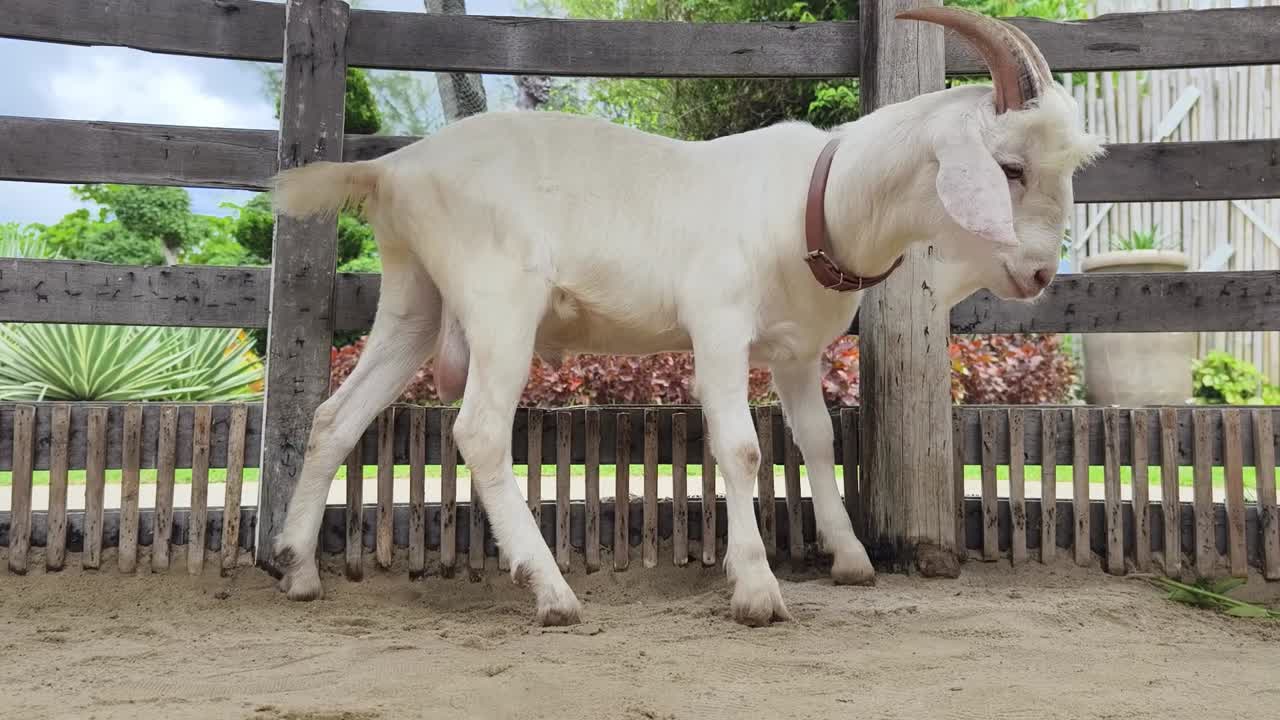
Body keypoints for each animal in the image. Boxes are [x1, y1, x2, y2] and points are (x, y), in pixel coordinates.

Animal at [266, 7, 1103, 627]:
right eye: (1011, 168)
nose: (1038, 273)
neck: (815, 198)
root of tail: (393, 166)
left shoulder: (796, 354)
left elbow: (819, 441)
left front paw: (851, 559)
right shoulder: (719, 327)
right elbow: (740, 447)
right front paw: (757, 589)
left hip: (415, 297)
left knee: (335, 418)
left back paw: (299, 569)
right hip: (500, 297)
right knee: (478, 431)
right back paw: (552, 591)